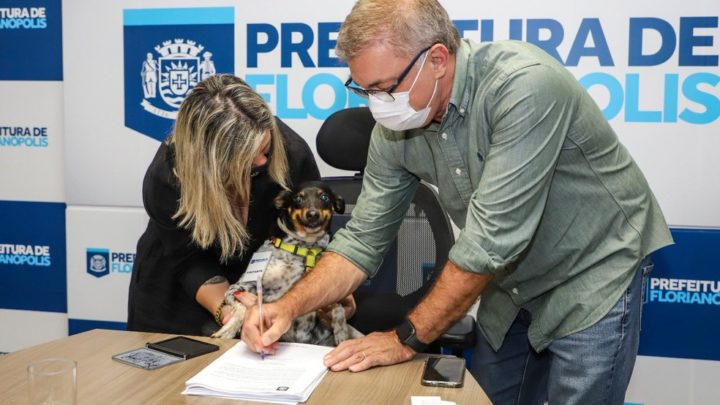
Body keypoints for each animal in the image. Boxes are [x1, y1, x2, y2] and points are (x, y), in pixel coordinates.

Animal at [211, 181, 362, 346]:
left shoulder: (326, 291)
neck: (304, 248)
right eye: (297, 198)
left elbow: (338, 307)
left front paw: (341, 331)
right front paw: (229, 329)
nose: (313, 214)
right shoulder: (239, 287)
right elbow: (242, 308)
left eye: (324, 197)